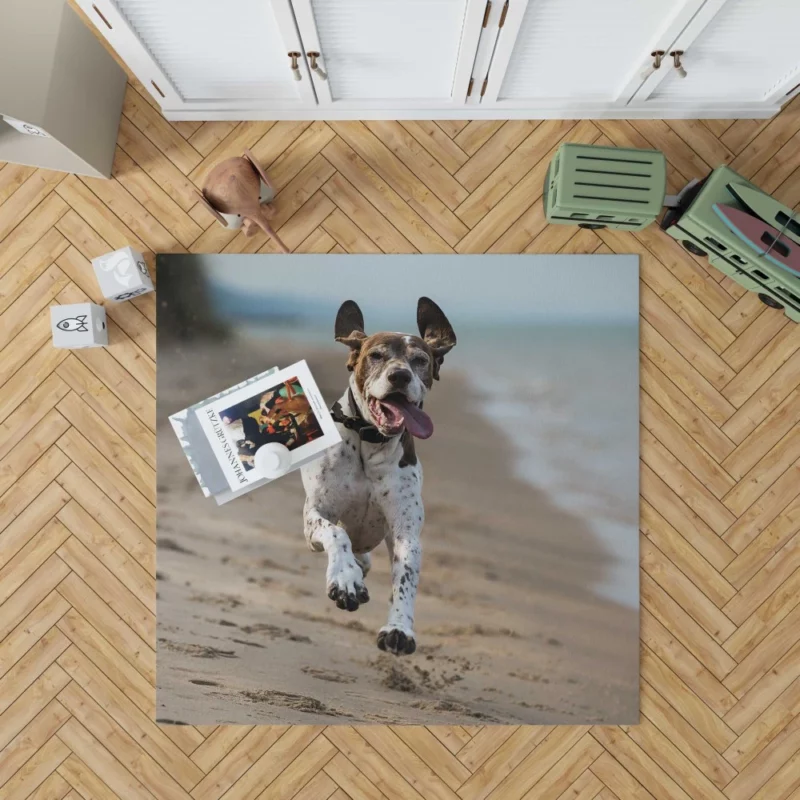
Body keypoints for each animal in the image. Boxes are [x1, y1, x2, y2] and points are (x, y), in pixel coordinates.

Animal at [302, 296, 456, 652]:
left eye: (420, 360)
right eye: (376, 355)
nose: (399, 376)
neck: (370, 442)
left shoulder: (405, 532)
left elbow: (406, 578)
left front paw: (399, 628)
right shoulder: (315, 514)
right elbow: (335, 532)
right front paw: (344, 579)